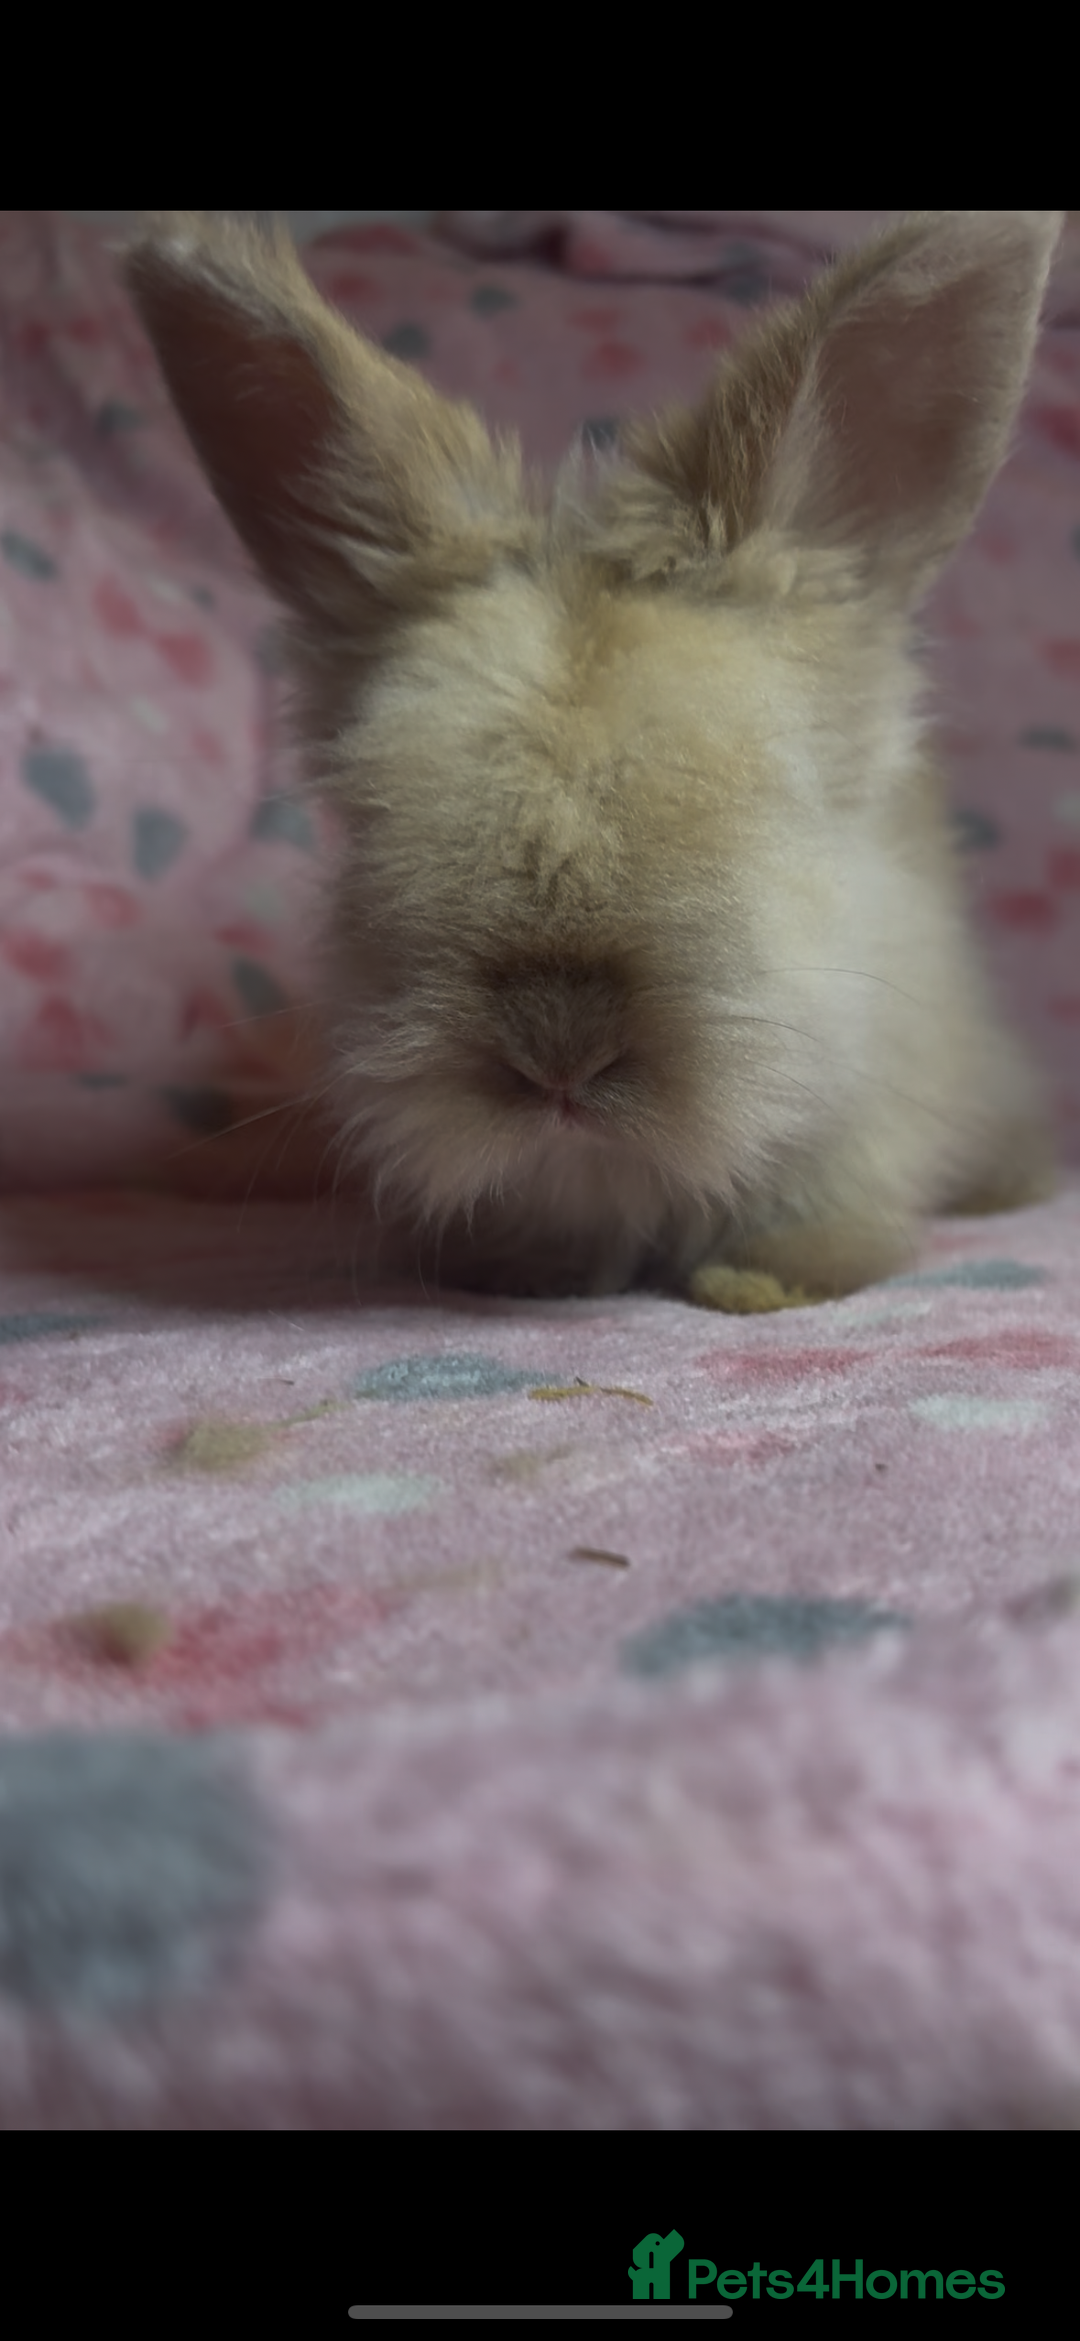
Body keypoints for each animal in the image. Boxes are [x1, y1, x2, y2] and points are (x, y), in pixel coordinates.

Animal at [122, 210, 1062, 1308]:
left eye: (765, 803)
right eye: (372, 815)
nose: (558, 1054)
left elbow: (819, 1228)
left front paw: (760, 1286)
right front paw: (530, 1275)